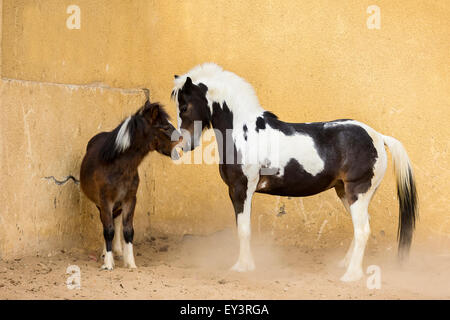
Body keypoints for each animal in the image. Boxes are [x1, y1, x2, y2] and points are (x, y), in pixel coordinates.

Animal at [80, 95, 180, 270]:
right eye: (165, 127)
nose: (182, 139)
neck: (117, 165)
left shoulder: (129, 199)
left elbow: (128, 230)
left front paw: (130, 263)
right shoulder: (105, 200)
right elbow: (108, 230)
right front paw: (108, 264)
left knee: (116, 221)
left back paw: (118, 251)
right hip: (102, 204)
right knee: (106, 223)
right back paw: (106, 253)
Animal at [172, 63, 418, 282]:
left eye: (184, 107)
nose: (183, 145)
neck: (243, 133)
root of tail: (378, 136)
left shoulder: (241, 189)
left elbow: (243, 229)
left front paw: (243, 267)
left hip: (357, 192)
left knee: (363, 230)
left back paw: (351, 275)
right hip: (346, 193)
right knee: (362, 226)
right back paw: (345, 265)